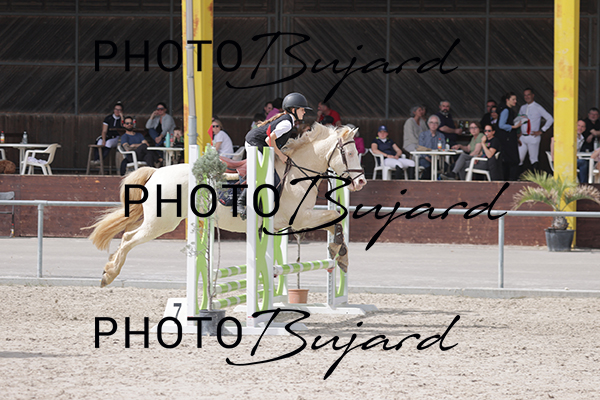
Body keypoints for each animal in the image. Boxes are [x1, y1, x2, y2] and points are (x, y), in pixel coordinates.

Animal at [88, 123, 367, 287]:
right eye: (350, 153)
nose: (362, 181)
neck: (298, 172)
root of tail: (157, 171)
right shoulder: (298, 219)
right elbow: (334, 217)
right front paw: (341, 253)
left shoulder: (299, 221)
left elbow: (334, 222)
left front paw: (340, 253)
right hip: (161, 222)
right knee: (128, 238)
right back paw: (108, 274)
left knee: (128, 236)